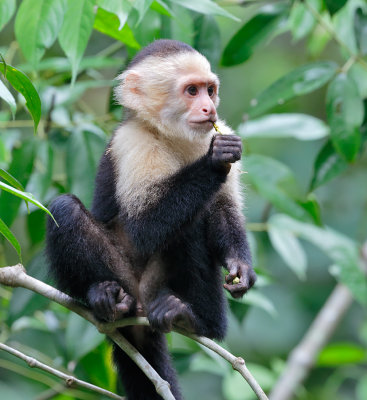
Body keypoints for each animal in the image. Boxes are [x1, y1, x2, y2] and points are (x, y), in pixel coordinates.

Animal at [46, 38, 256, 400]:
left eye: (209, 90)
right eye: (191, 91)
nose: (208, 109)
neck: (173, 135)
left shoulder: (222, 129)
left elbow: (223, 211)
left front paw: (240, 267)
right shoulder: (134, 142)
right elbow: (143, 227)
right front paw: (214, 161)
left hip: (157, 287)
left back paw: (196, 320)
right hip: (127, 279)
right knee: (64, 210)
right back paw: (103, 298)